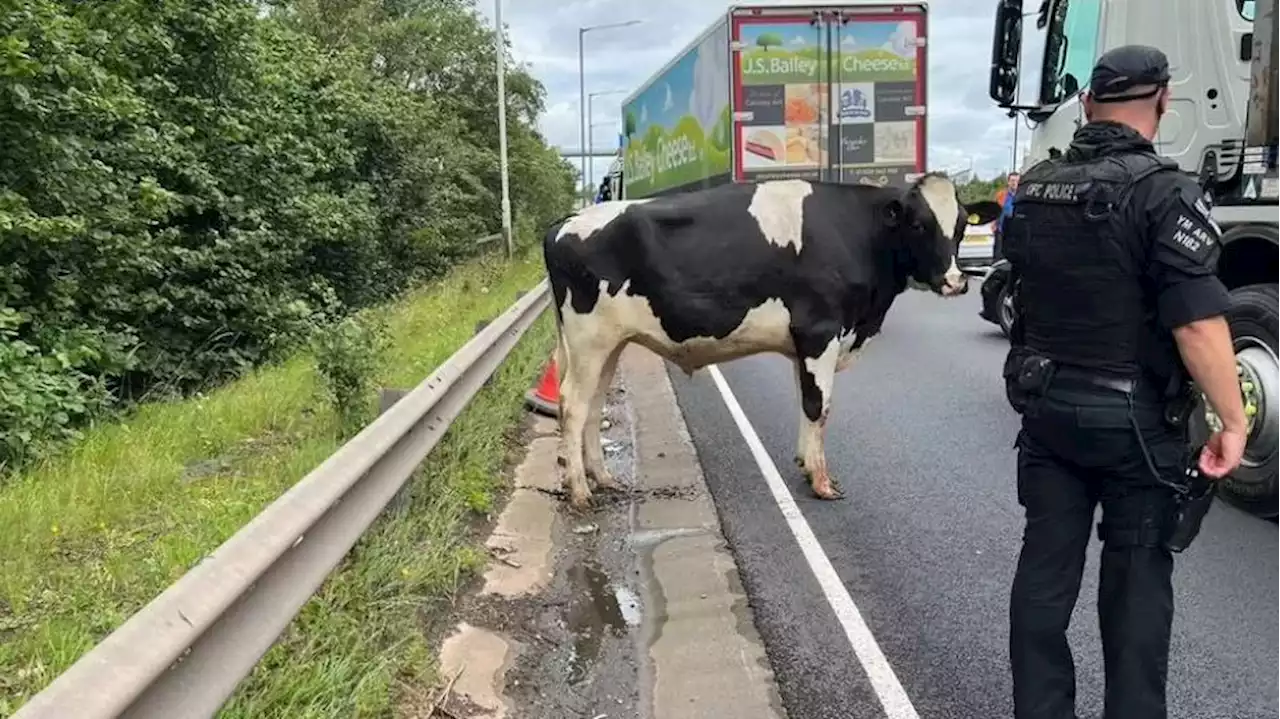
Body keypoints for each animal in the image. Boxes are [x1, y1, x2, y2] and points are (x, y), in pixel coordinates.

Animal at [540, 173, 998, 509]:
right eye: (918, 224)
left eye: (960, 226)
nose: (956, 281)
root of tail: (565, 222)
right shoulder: (819, 331)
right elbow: (819, 406)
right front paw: (822, 482)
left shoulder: (805, 344)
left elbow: (806, 401)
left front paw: (805, 465)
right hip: (589, 339)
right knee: (573, 404)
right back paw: (579, 491)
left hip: (608, 344)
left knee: (594, 404)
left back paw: (604, 478)